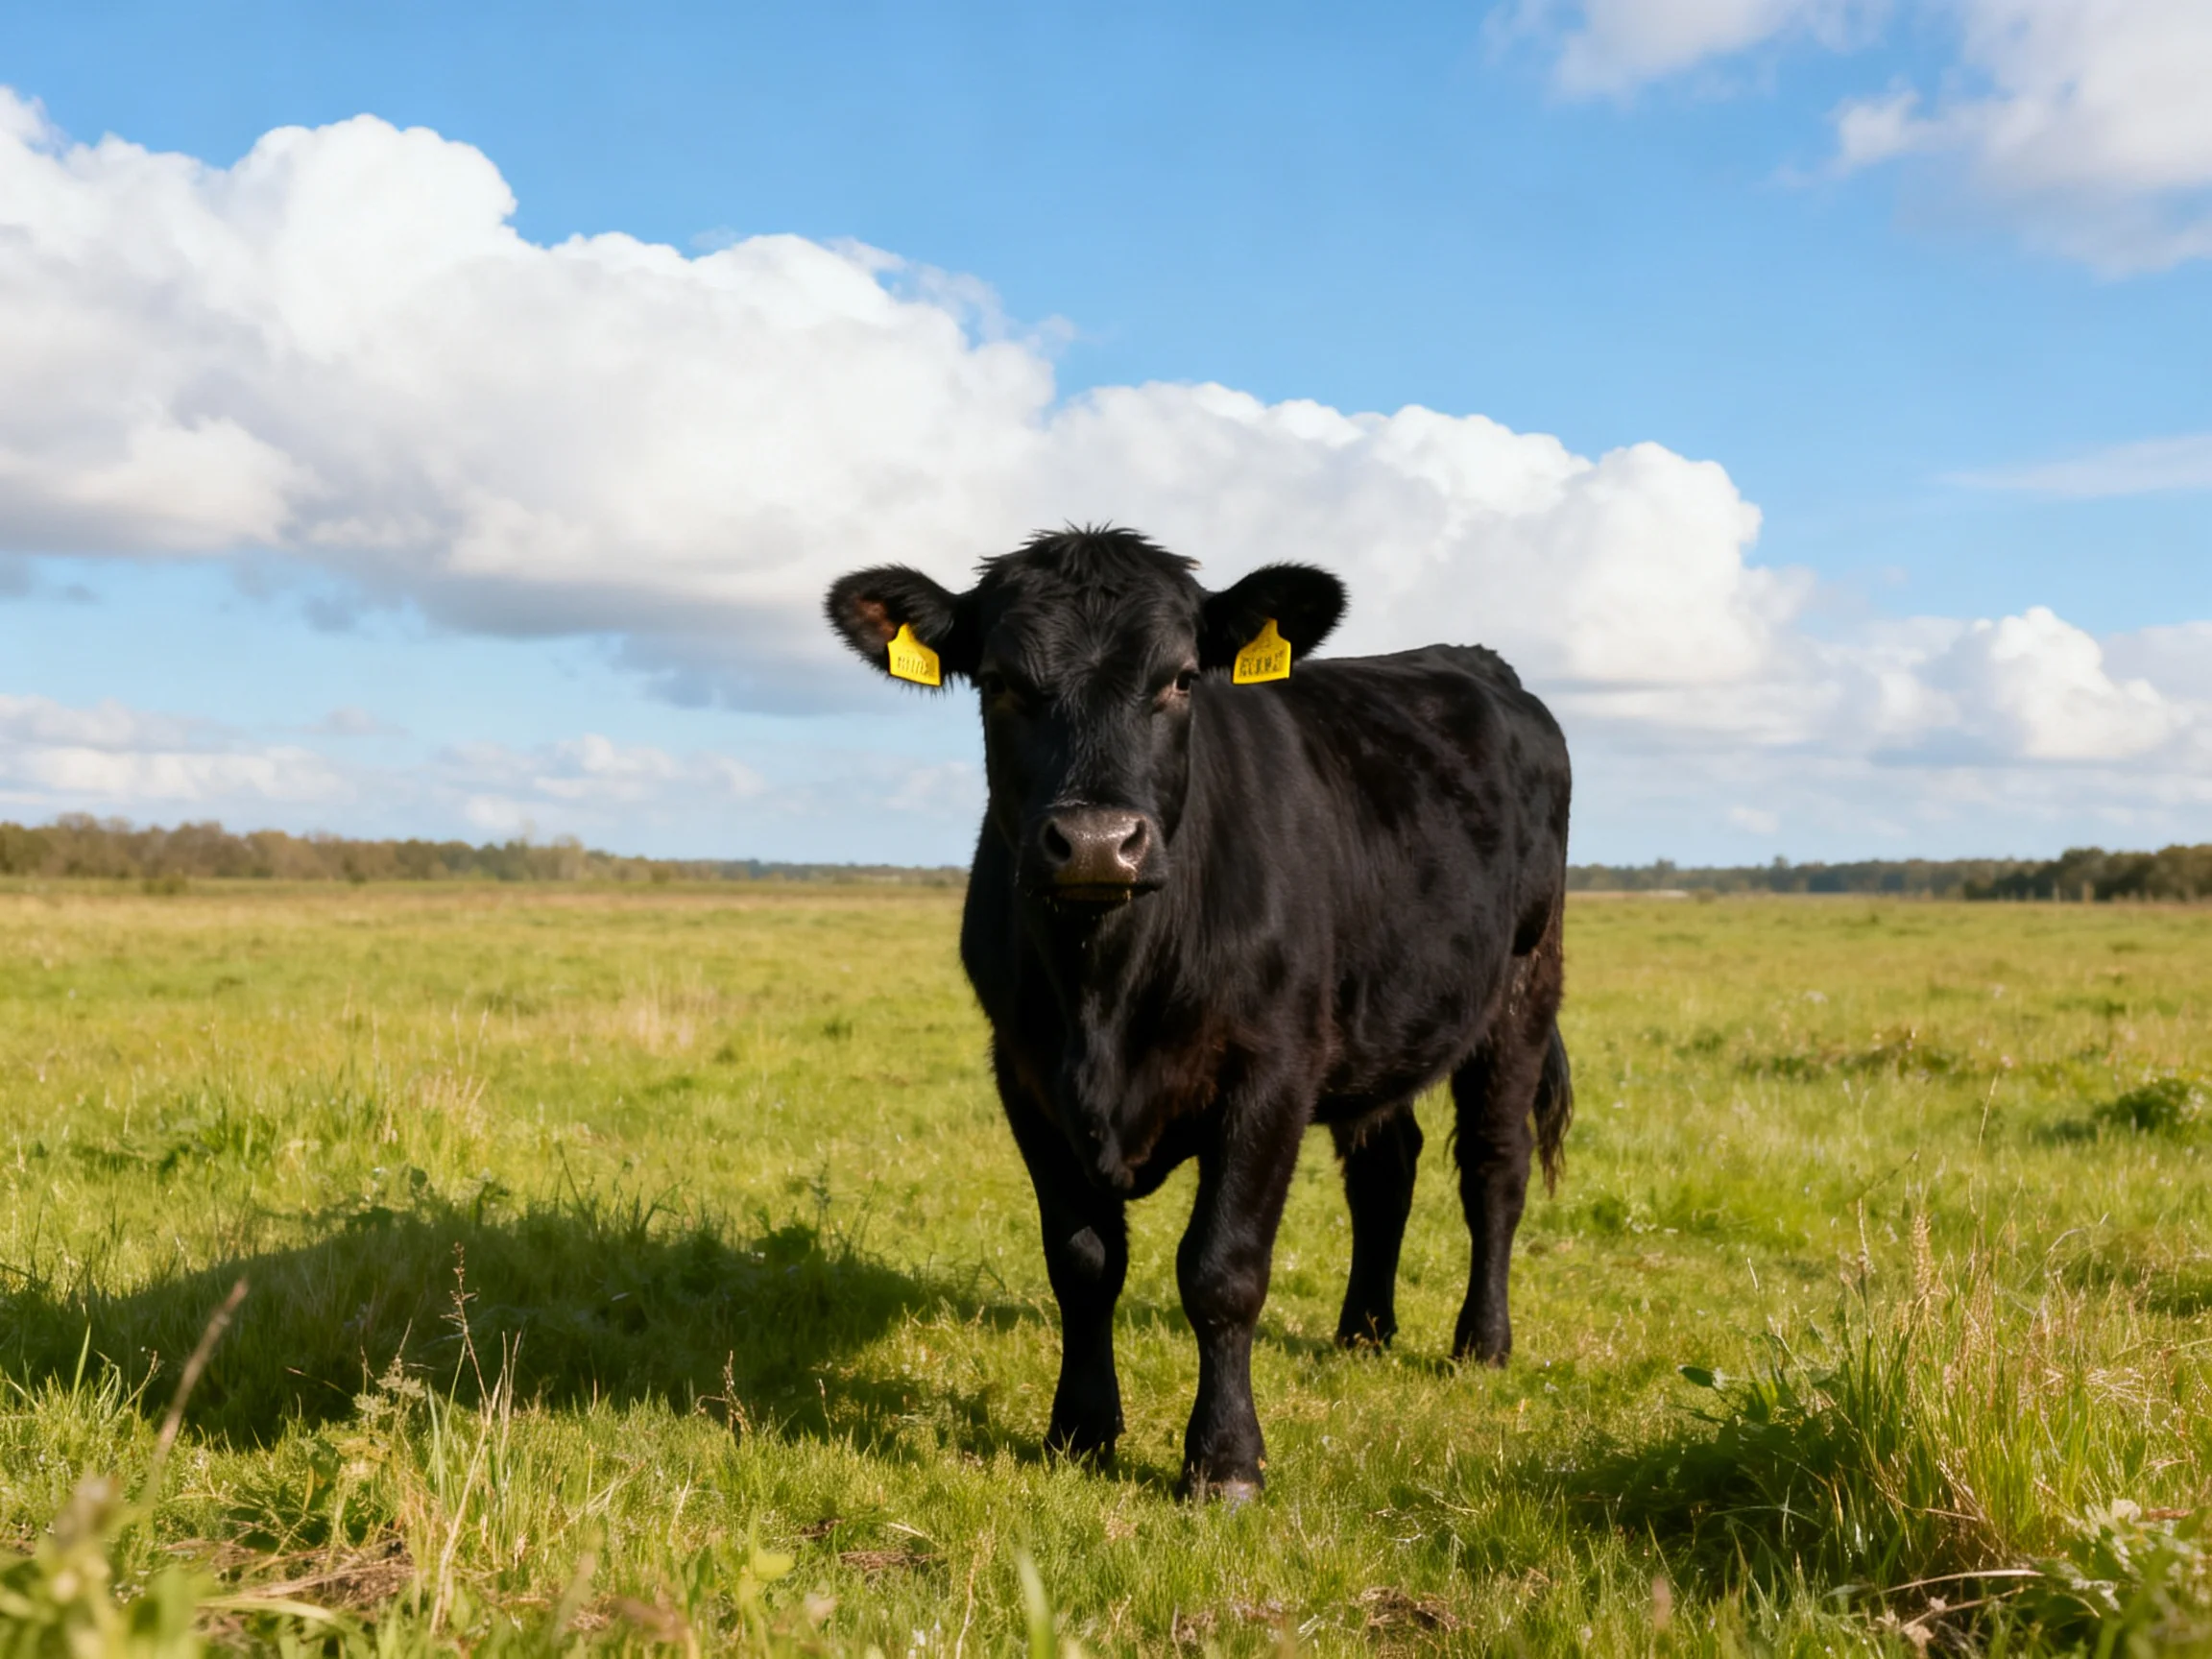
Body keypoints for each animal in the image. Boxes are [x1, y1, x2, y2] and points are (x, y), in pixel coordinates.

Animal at [825, 526, 1572, 1499]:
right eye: (999, 681)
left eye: (1181, 679)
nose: (1096, 843)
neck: (1105, 991)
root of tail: (1476, 661)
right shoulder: (1023, 1074)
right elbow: (1083, 1261)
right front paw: (1080, 1430)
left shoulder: (1273, 1070)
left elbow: (1222, 1269)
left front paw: (1223, 1460)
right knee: (1386, 1167)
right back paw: (1363, 1332)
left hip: (1525, 983)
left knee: (1493, 1167)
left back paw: (1480, 1343)